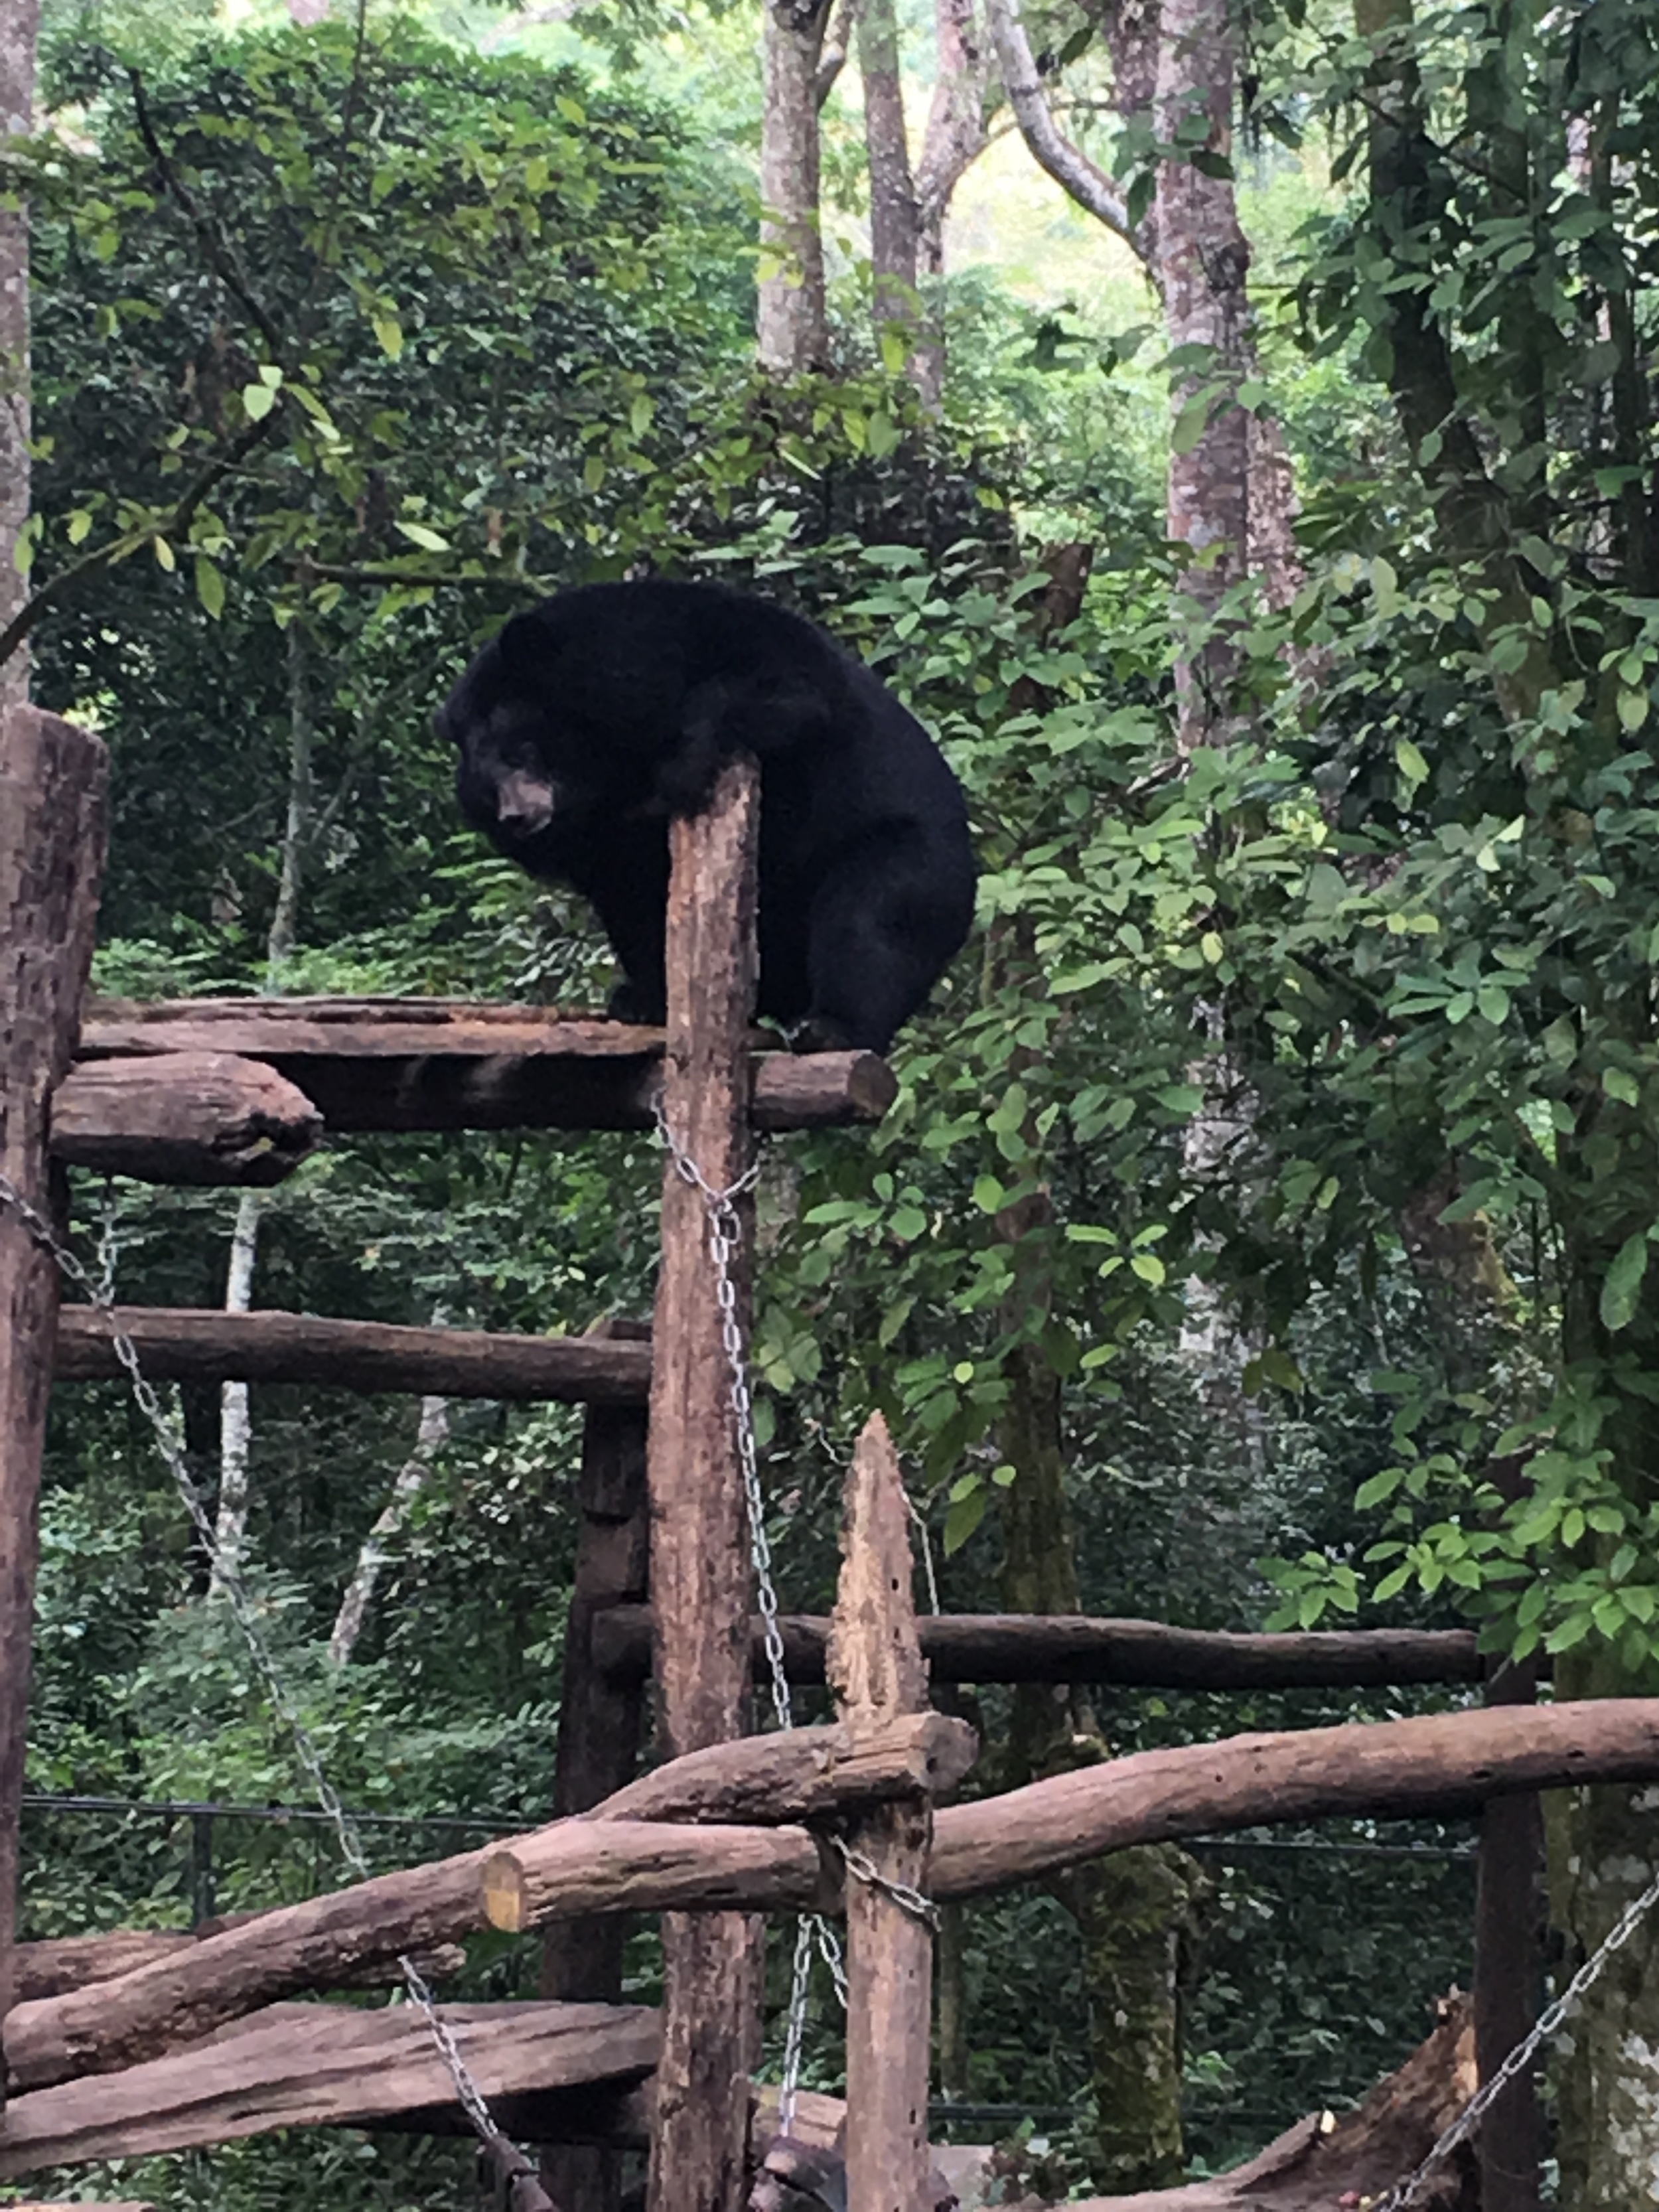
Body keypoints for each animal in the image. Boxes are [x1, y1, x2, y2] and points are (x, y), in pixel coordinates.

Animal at [449, 575, 982, 1048]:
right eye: (487, 786)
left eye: (520, 750)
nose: (517, 817)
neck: (606, 774)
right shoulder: (611, 845)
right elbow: (636, 905)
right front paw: (644, 998)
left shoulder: (687, 644)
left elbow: (788, 689)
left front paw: (683, 768)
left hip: (909, 853)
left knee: (870, 920)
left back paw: (832, 1028)